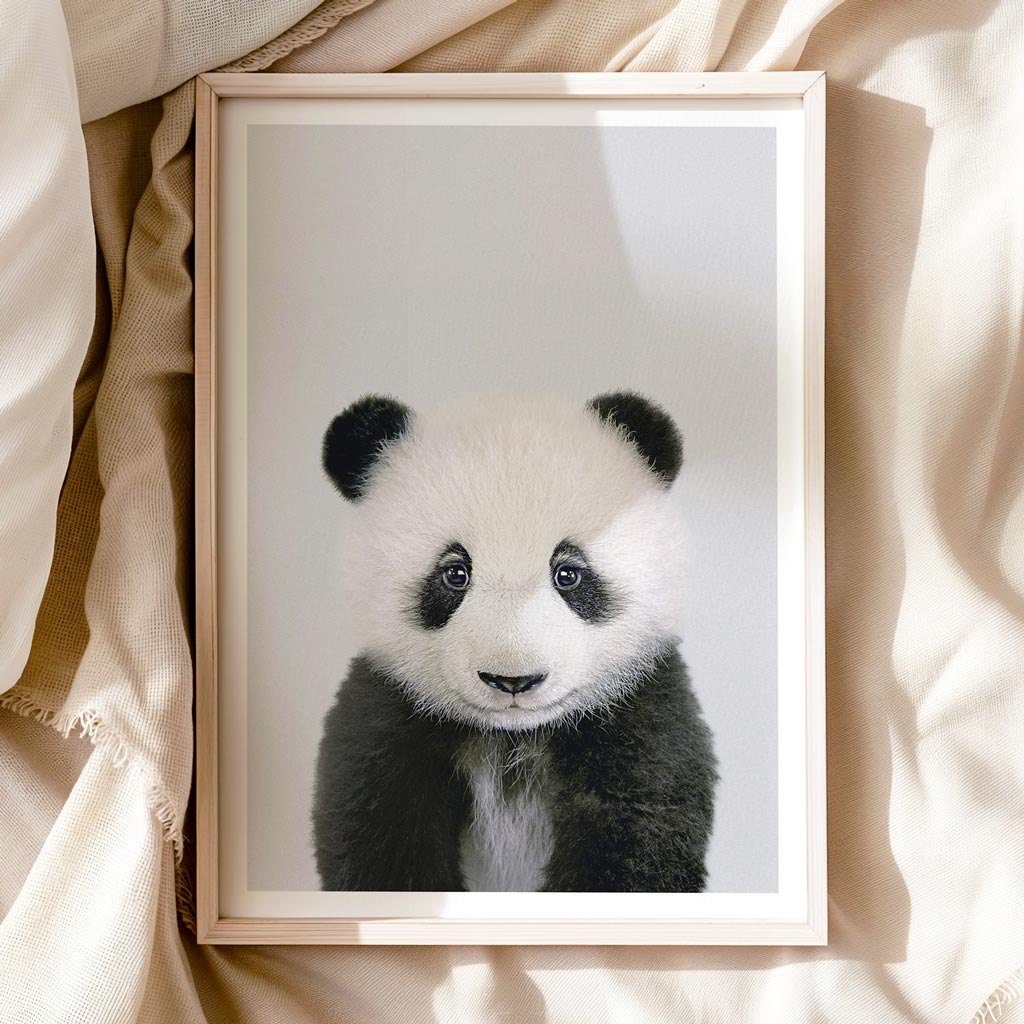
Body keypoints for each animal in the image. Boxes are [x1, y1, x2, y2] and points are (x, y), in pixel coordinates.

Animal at [312, 390, 717, 893]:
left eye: (568, 573)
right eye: (455, 573)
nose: (512, 681)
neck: (512, 738)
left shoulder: (640, 709)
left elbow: (640, 830)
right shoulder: (386, 712)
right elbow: (378, 836)